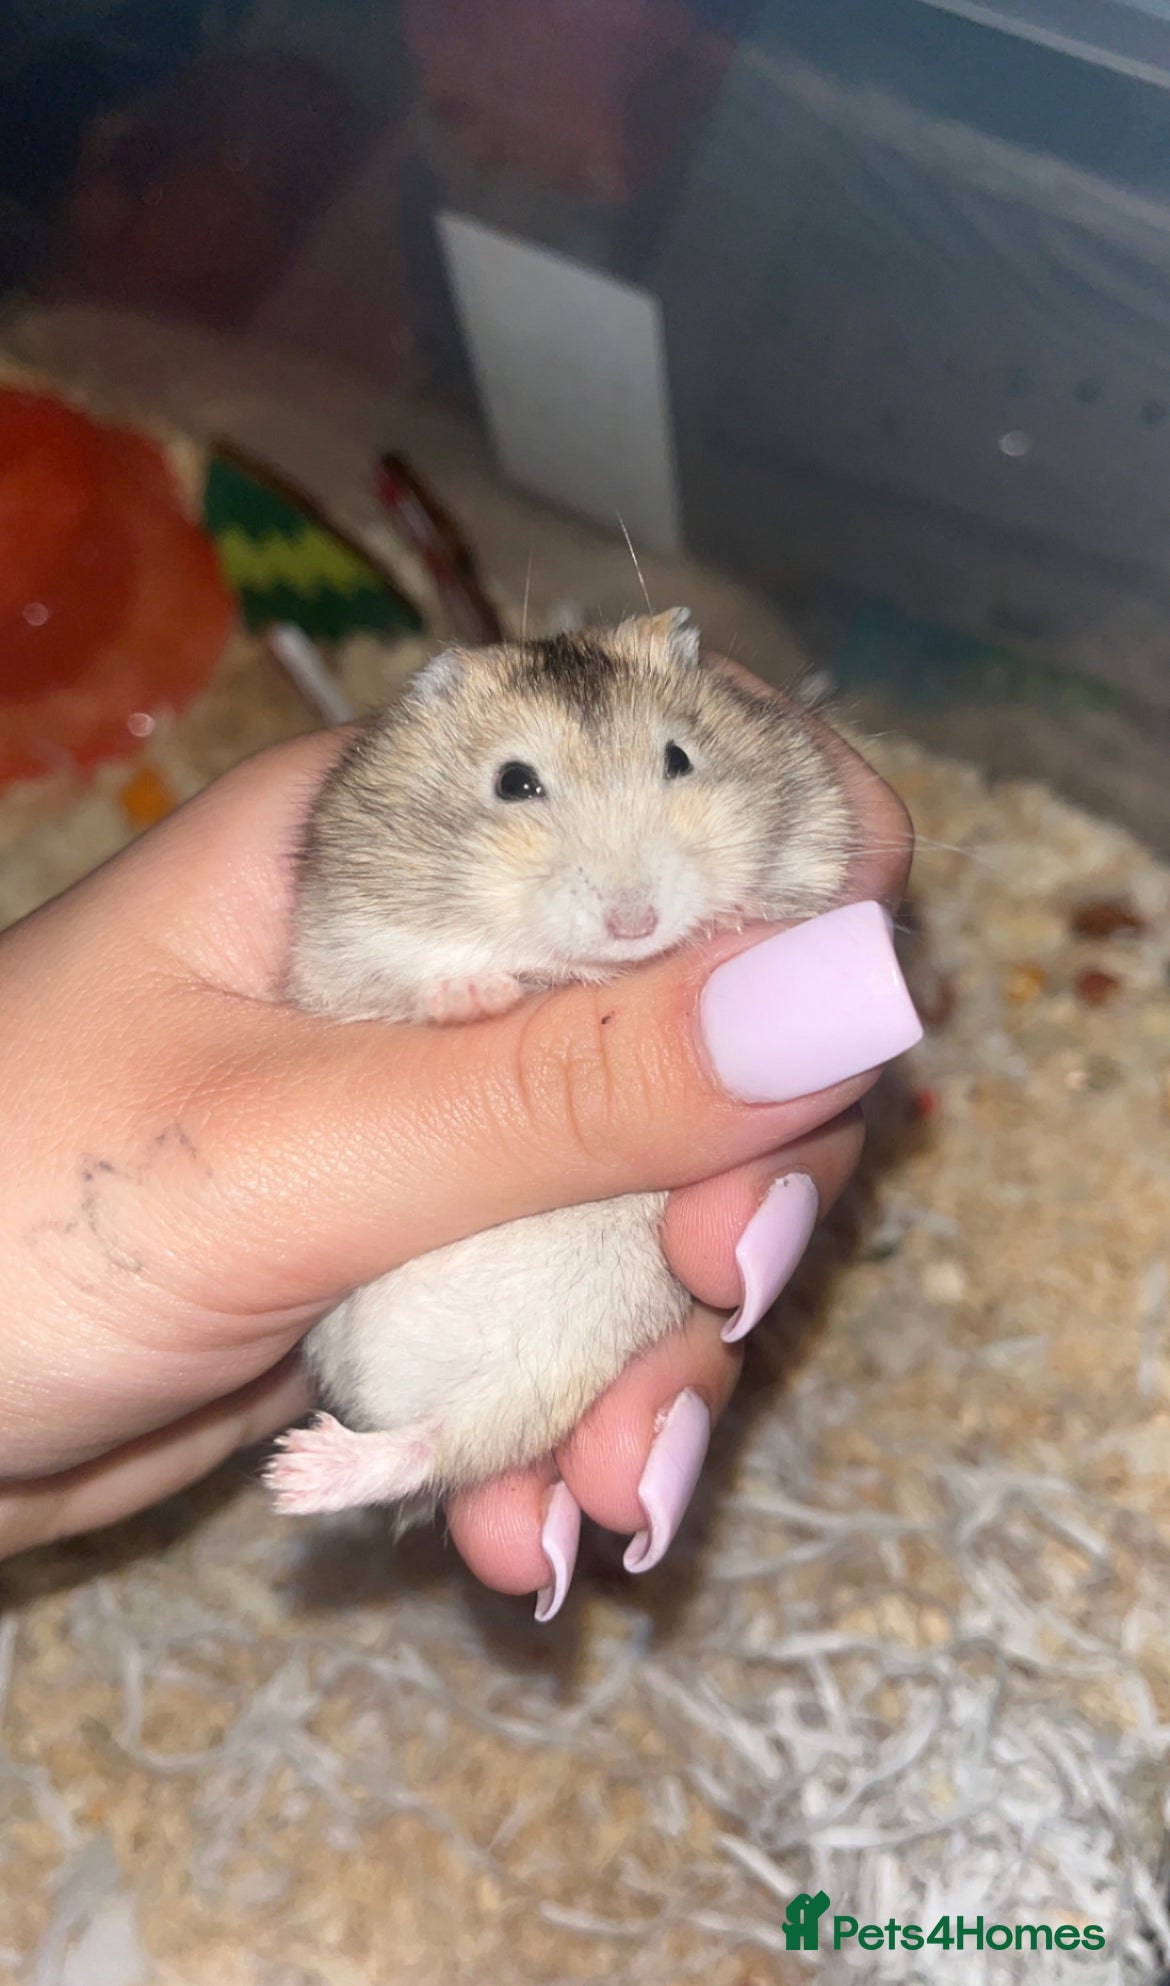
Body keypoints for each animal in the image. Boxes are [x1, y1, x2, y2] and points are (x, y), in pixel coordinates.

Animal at [265, 609, 852, 1523]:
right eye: (514, 783)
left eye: (679, 758)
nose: (637, 923)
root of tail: (380, 1392)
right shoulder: (339, 951)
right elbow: (409, 980)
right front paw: (479, 992)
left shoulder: (823, 833)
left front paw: (735, 918)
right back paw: (293, 1472)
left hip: (545, 1378)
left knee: (435, 1451)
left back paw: (297, 1472)